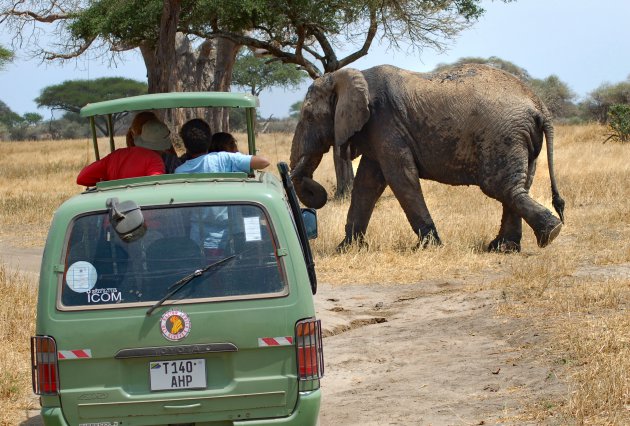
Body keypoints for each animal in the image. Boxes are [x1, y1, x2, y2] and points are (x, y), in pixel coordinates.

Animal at [292, 62, 568, 250]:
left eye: (307, 116)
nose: (316, 192)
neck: (350, 75)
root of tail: (539, 106)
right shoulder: (378, 130)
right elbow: (367, 184)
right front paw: (345, 249)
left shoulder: (385, 123)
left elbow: (401, 177)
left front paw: (427, 247)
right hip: (521, 138)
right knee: (515, 187)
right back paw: (505, 247)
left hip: (504, 136)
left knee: (502, 187)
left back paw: (548, 234)